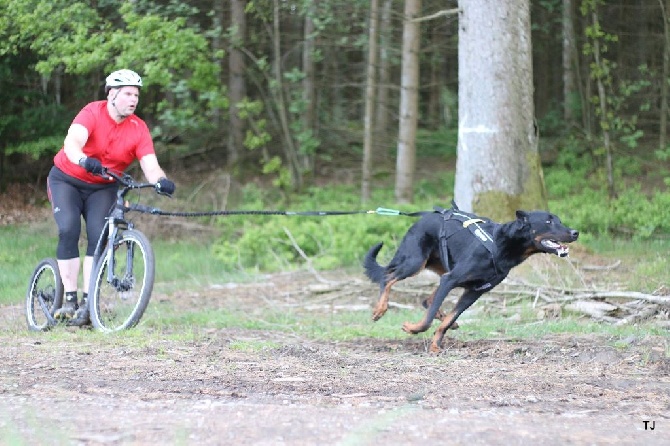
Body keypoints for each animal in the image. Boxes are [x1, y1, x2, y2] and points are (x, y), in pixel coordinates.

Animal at [364, 201, 580, 352]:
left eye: (559, 220)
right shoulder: (451, 279)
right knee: (387, 278)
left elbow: (449, 318)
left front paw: (436, 343)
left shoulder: (473, 292)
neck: (500, 245)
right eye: (549, 221)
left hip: (441, 269)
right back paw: (380, 309)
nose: (575, 232)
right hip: (415, 262)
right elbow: (427, 320)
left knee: (428, 300)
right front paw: (413, 328)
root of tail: (426, 215)